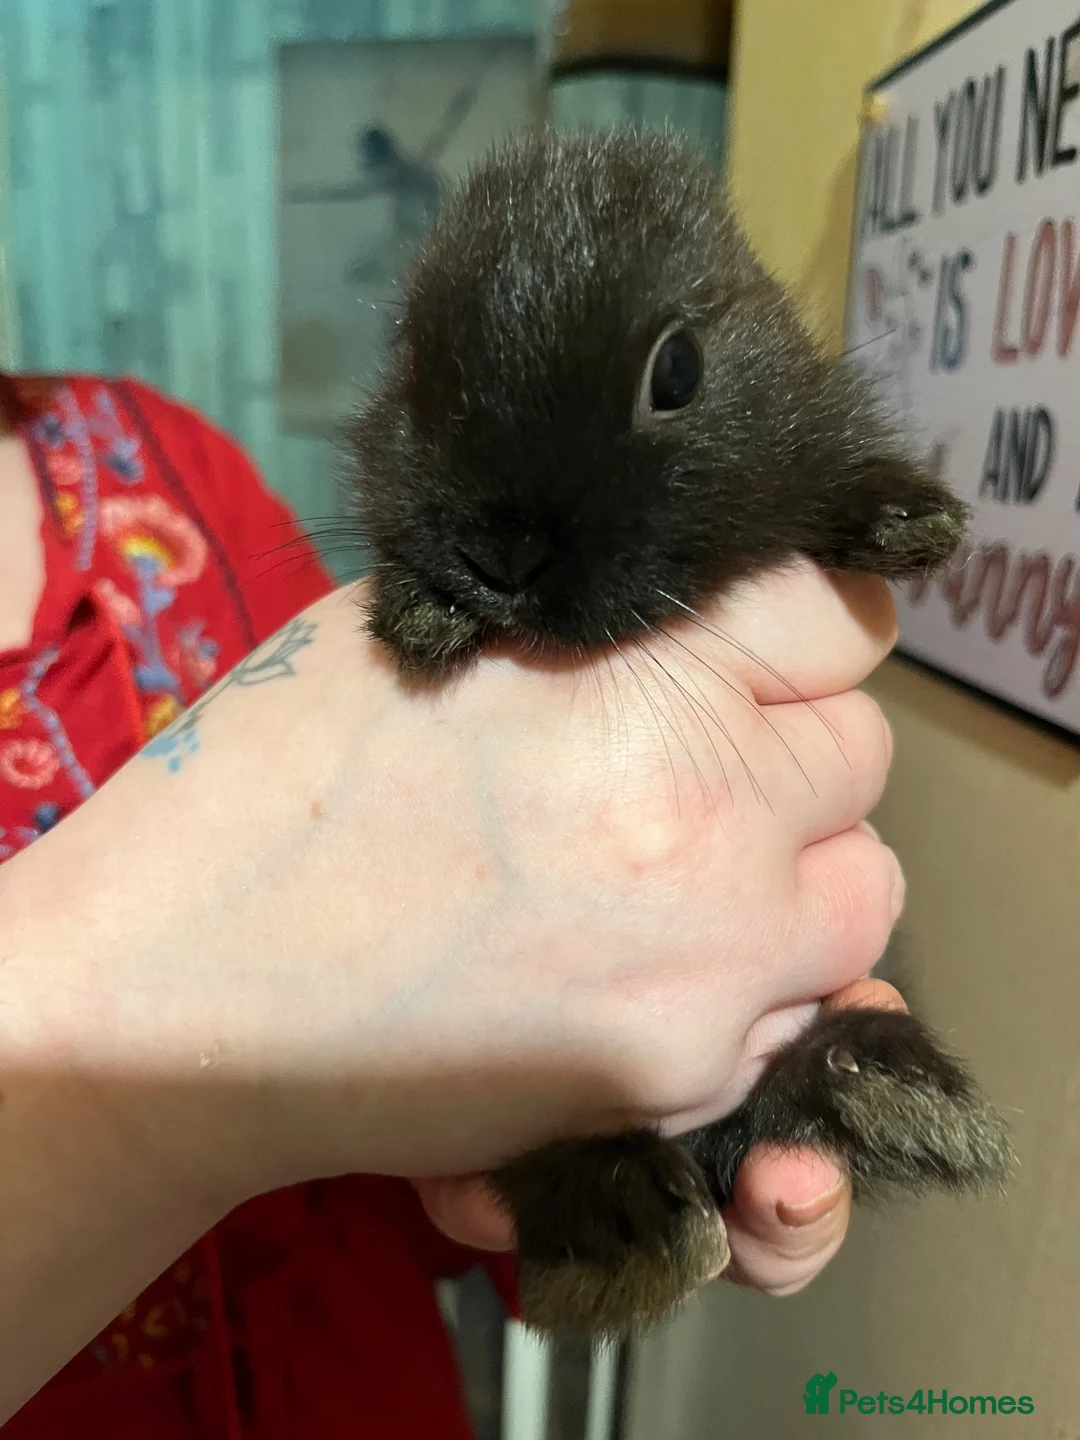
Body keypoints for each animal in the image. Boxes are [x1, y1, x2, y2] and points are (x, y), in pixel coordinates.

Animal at [345, 126, 1013, 1340]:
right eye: (418, 372)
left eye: (680, 372)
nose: (504, 553)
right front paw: (421, 614)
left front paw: (908, 519)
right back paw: (632, 1227)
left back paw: (890, 1091)